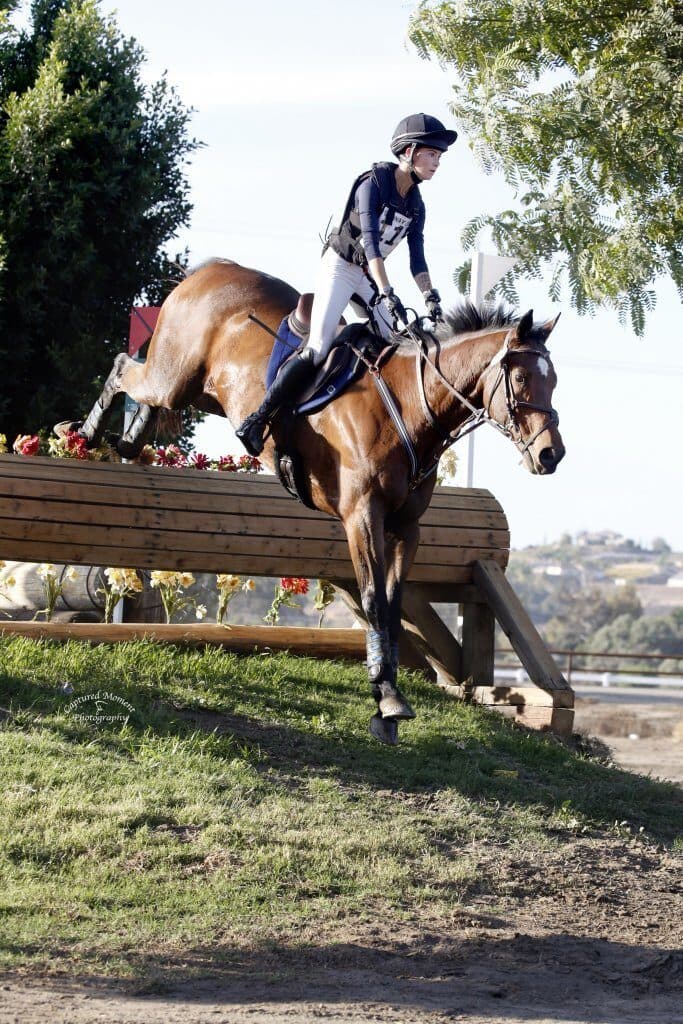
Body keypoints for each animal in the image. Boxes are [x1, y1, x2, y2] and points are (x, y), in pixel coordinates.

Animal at [57, 258, 565, 744]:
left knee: (147, 394)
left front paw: (387, 697)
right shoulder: (361, 516)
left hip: (201, 392)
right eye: (521, 378)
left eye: (554, 380)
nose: (550, 455)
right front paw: (387, 697)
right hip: (174, 375)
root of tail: (212, 270)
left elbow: (394, 602)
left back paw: (127, 441)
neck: (409, 407)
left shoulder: (407, 526)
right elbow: (374, 600)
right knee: (125, 367)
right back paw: (83, 434)